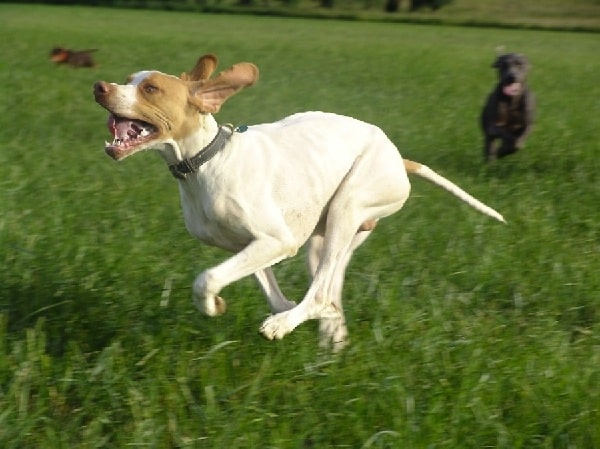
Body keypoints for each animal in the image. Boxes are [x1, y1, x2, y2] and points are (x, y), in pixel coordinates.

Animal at [94, 54, 504, 350]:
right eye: (128, 78)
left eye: (150, 88)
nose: (100, 87)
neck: (207, 162)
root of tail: (399, 157)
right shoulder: (247, 246)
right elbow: (269, 291)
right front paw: (252, 308)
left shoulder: (277, 241)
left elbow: (206, 279)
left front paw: (220, 306)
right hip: (329, 240)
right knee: (329, 294)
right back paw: (328, 344)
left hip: (347, 207)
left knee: (321, 293)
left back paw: (284, 327)